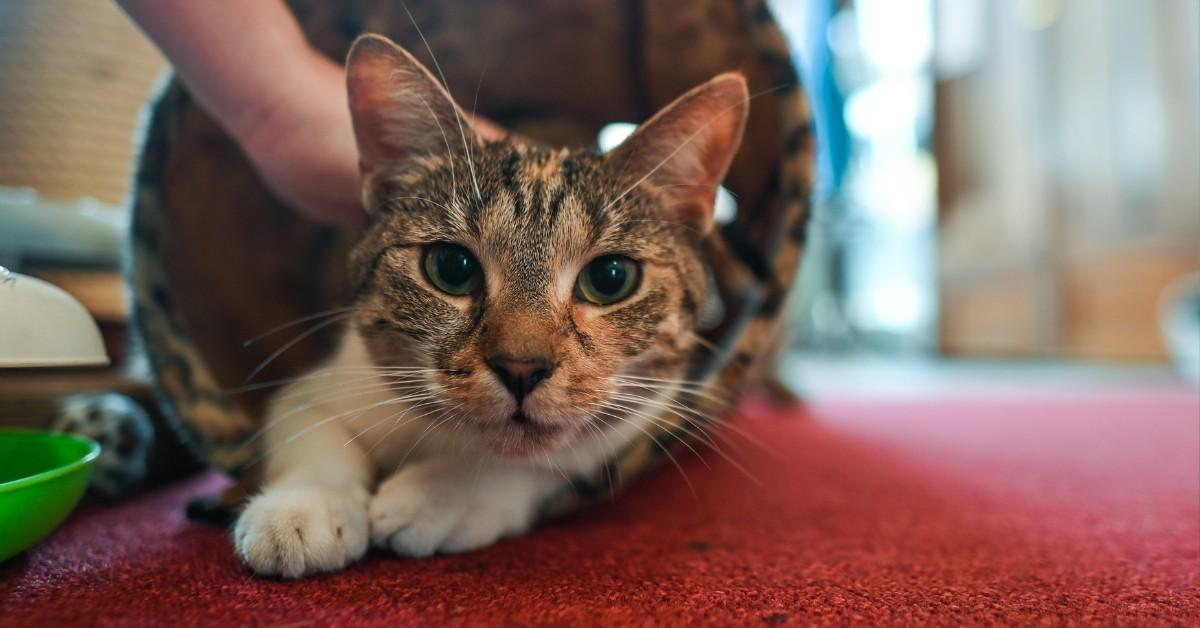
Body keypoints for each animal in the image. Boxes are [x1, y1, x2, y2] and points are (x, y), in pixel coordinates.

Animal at [232, 31, 748, 578]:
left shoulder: (646, 428)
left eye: (610, 278)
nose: (521, 368)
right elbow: (311, 430)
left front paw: (441, 496)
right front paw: (302, 507)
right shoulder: (330, 380)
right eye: (451, 267)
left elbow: (551, 460)